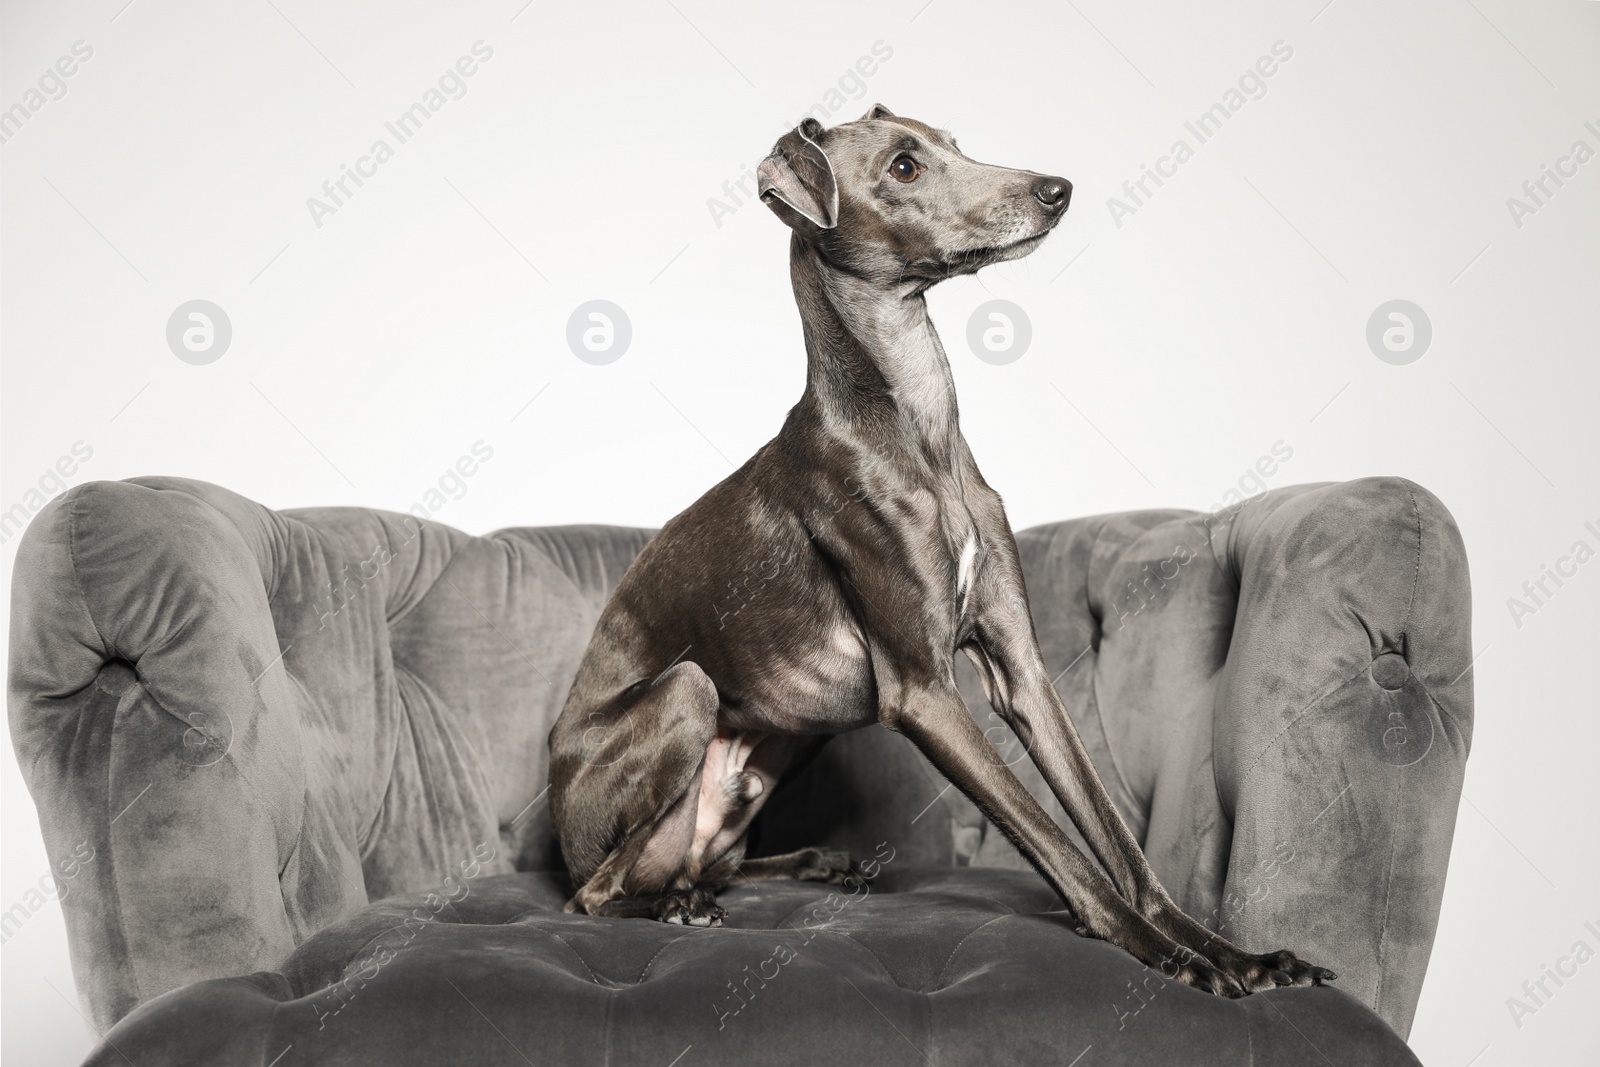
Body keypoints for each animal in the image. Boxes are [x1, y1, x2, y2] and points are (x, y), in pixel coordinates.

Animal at [550, 103, 1337, 998]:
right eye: (903, 167)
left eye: (955, 143)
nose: (1057, 189)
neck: (917, 431)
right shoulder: (923, 693)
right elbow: (1057, 844)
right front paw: (1165, 953)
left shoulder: (1021, 669)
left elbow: (1116, 839)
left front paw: (1230, 950)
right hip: (686, 693)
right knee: (599, 891)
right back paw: (677, 905)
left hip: (786, 736)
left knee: (701, 863)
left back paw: (809, 863)